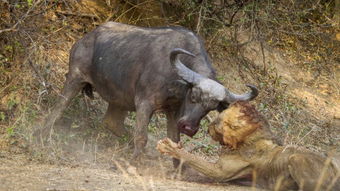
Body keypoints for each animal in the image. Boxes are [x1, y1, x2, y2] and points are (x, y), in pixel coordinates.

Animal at [41, 22, 256, 163]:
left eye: (211, 108)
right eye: (194, 96)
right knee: (58, 108)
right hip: (74, 78)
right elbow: (142, 136)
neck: (176, 78)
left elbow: (174, 141)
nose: (189, 127)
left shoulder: (174, 112)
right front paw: (135, 162)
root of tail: (86, 38)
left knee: (112, 122)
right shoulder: (145, 103)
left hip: (118, 99)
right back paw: (40, 135)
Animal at [157, 100, 340, 190]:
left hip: (296, 158)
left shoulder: (219, 172)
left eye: (217, 123)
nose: (207, 128)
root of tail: (334, 167)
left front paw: (168, 146)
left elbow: (192, 159)